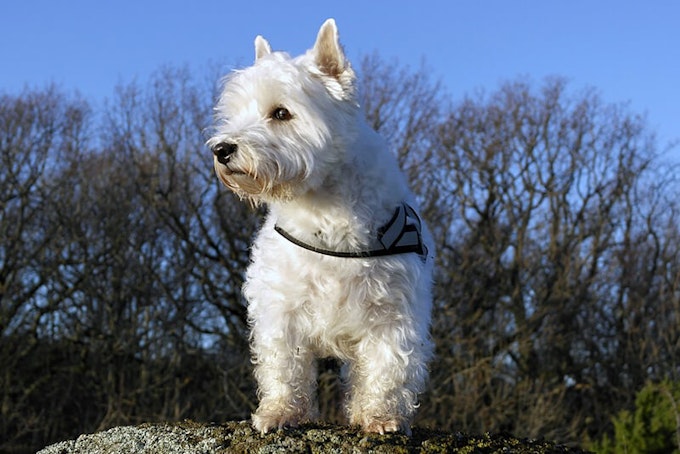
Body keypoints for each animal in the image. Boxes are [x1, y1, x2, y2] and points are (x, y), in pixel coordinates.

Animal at [206, 18, 436, 436]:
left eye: (281, 113)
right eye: (236, 112)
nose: (222, 149)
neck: (324, 209)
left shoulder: (391, 313)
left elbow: (387, 368)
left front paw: (380, 417)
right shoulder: (282, 309)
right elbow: (285, 368)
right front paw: (280, 413)